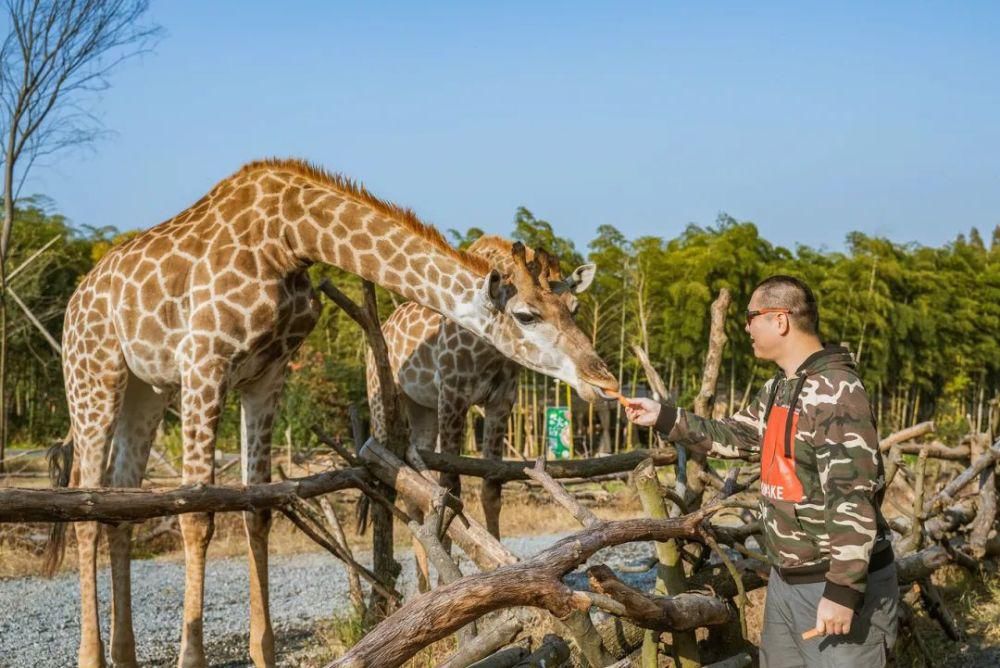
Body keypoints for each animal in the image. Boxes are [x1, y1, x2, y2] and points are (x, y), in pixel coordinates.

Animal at [368, 235, 596, 548]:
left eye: (574, 308)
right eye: (526, 316)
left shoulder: (502, 400)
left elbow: (491, 487)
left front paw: (496, 552)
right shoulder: (452, 394)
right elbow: (451, 489)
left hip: (421, 407)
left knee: (414, 484)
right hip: (381, 397)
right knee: (388, 474)